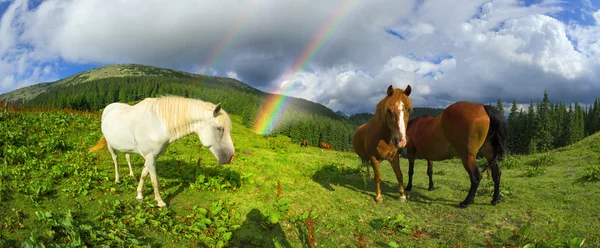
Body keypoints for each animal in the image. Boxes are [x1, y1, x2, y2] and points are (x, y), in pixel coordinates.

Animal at [90, 96, 236, 206]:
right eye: (220, 128)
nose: (230, 157)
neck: (157, 124)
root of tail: (108, 107)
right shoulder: (150, 157)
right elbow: (154, 180)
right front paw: (160, 201)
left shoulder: (151, 157)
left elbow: (144, 175)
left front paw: (139, 194)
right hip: (110, 145)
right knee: (115, 159)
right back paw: (118, 179)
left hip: (127, 147)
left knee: (127, 157)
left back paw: (131, 174)